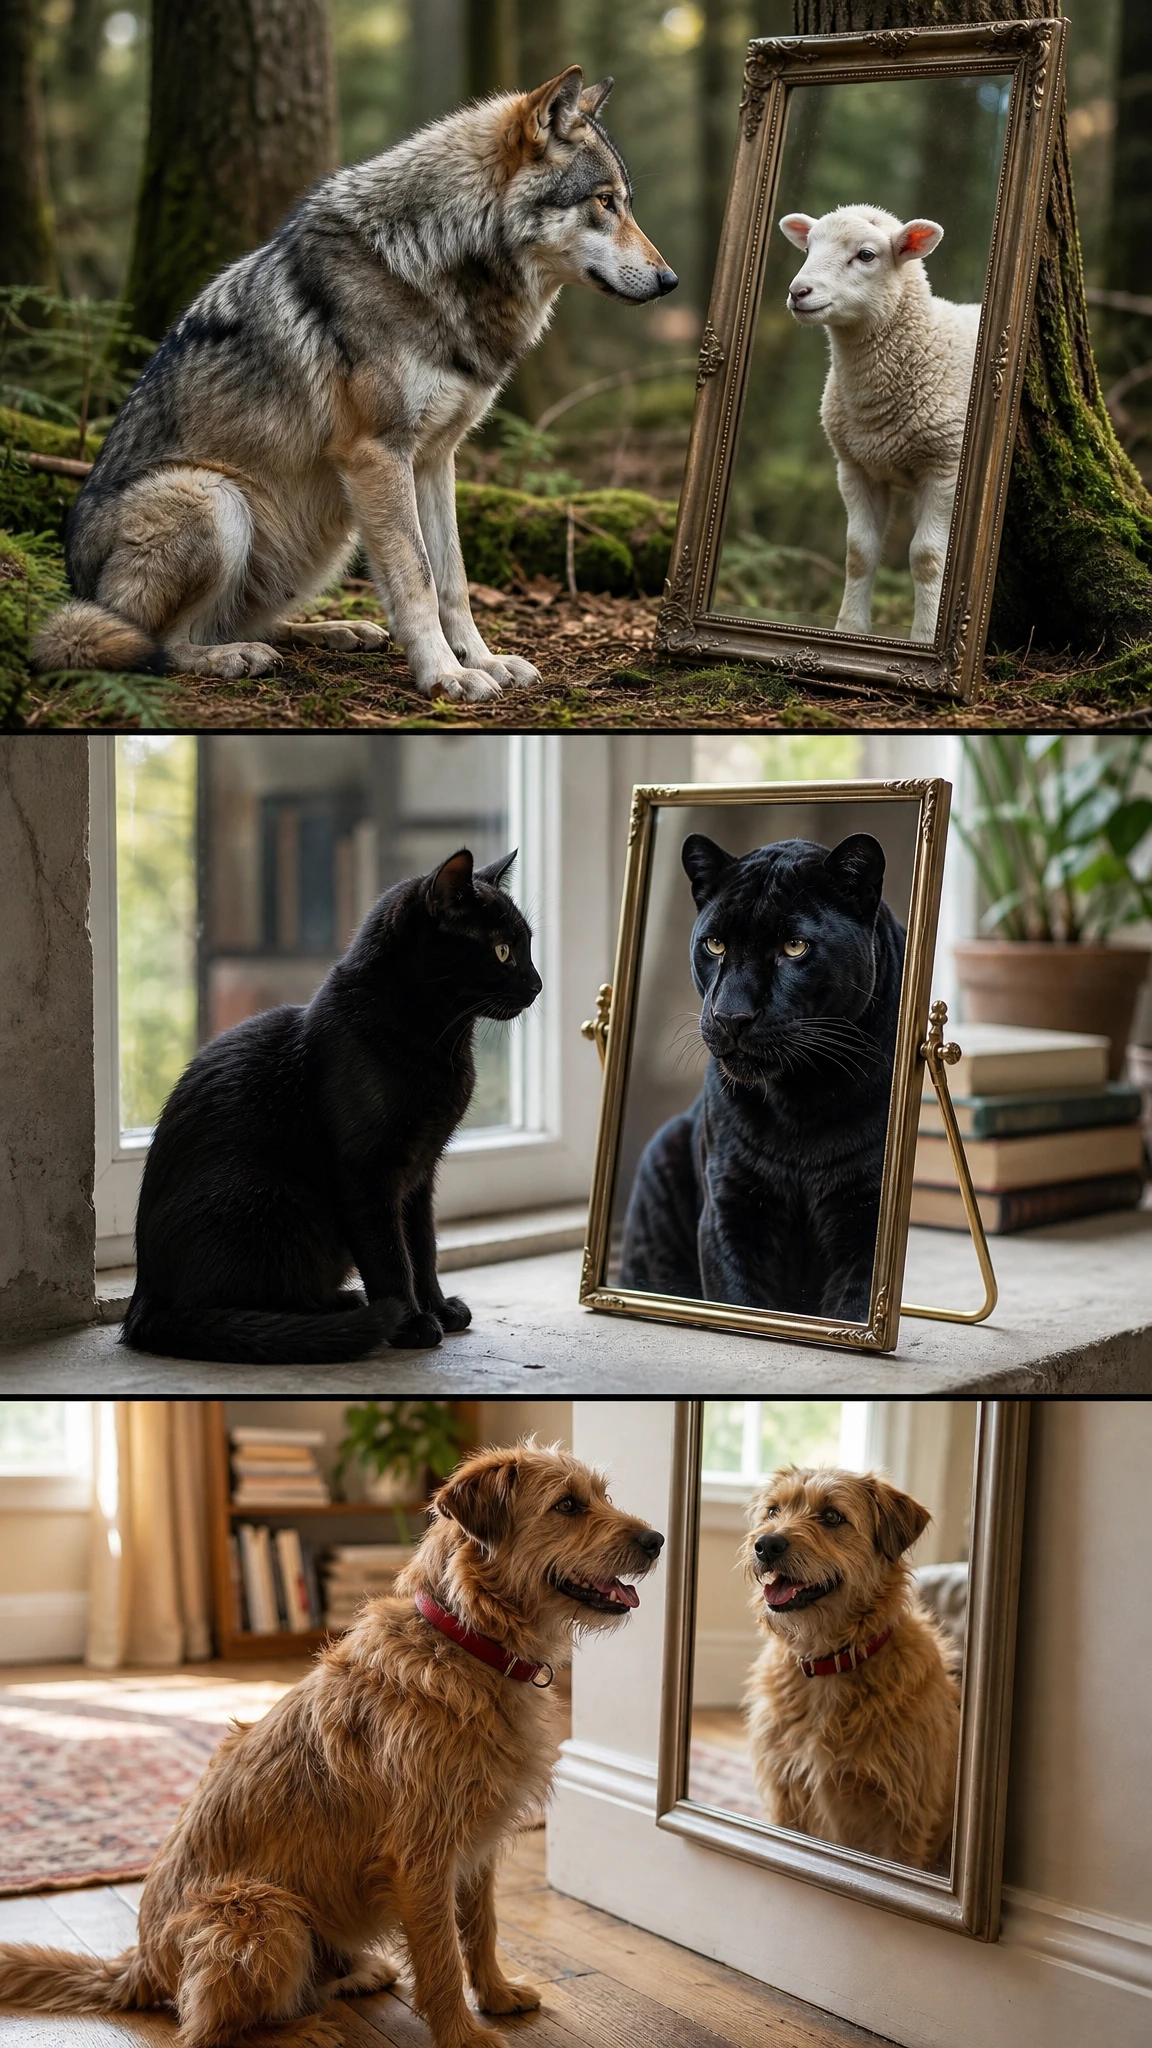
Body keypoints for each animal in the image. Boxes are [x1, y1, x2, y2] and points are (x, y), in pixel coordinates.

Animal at [33, 68, 676, 700]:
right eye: (605, 202)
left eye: (627, 204)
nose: (670, 280)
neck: (437, 259)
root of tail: (79, 582)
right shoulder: (377, 453)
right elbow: (417, 579)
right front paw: (445, 675)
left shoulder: (435, 459)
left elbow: (454, 580)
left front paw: (484, 661)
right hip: (215, 498)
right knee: (158, 643)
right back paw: (231, 657)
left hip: (329, 533)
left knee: (247, 620)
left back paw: (336, 630)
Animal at [779, 205, 981, 642]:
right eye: (809, 247)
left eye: (866, 255)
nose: (798, 292)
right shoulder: (854, 466)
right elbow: (859, 552)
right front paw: (849, 627)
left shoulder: (945, 465)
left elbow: (928, 557)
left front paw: (924, 637)